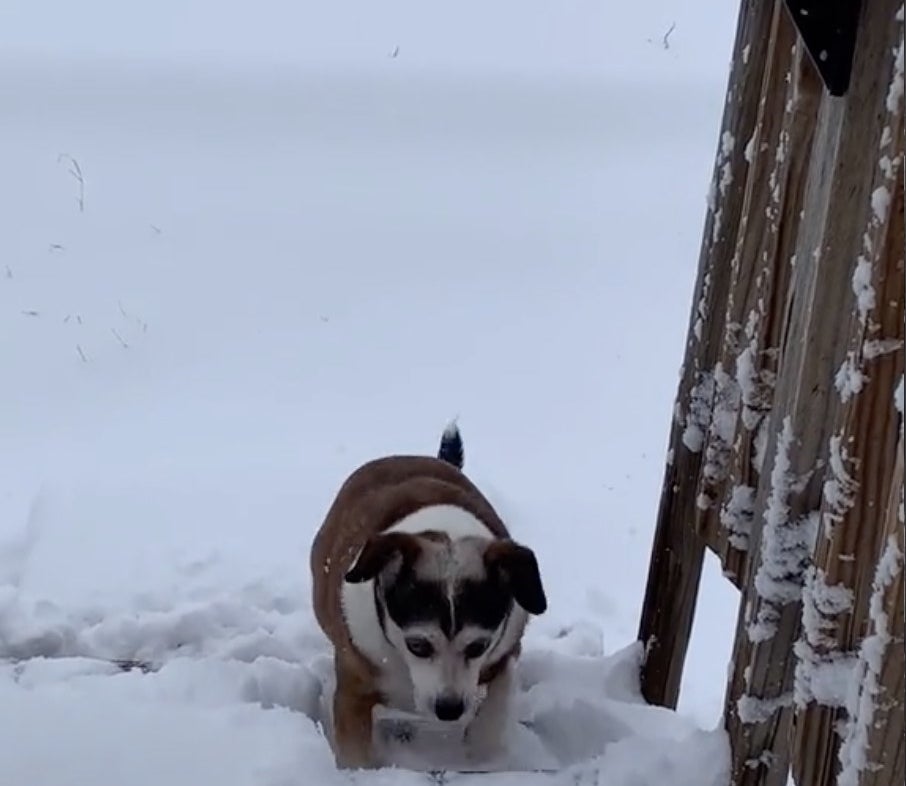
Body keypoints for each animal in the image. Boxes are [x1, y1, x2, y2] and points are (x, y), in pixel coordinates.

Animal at [310, 422, 548, 764]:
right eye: (418, 645)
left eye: (478, 646)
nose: (449, 709)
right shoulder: (356, 675)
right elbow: (353, 740)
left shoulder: (506, 645)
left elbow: (500, 693)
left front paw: (482, 750)